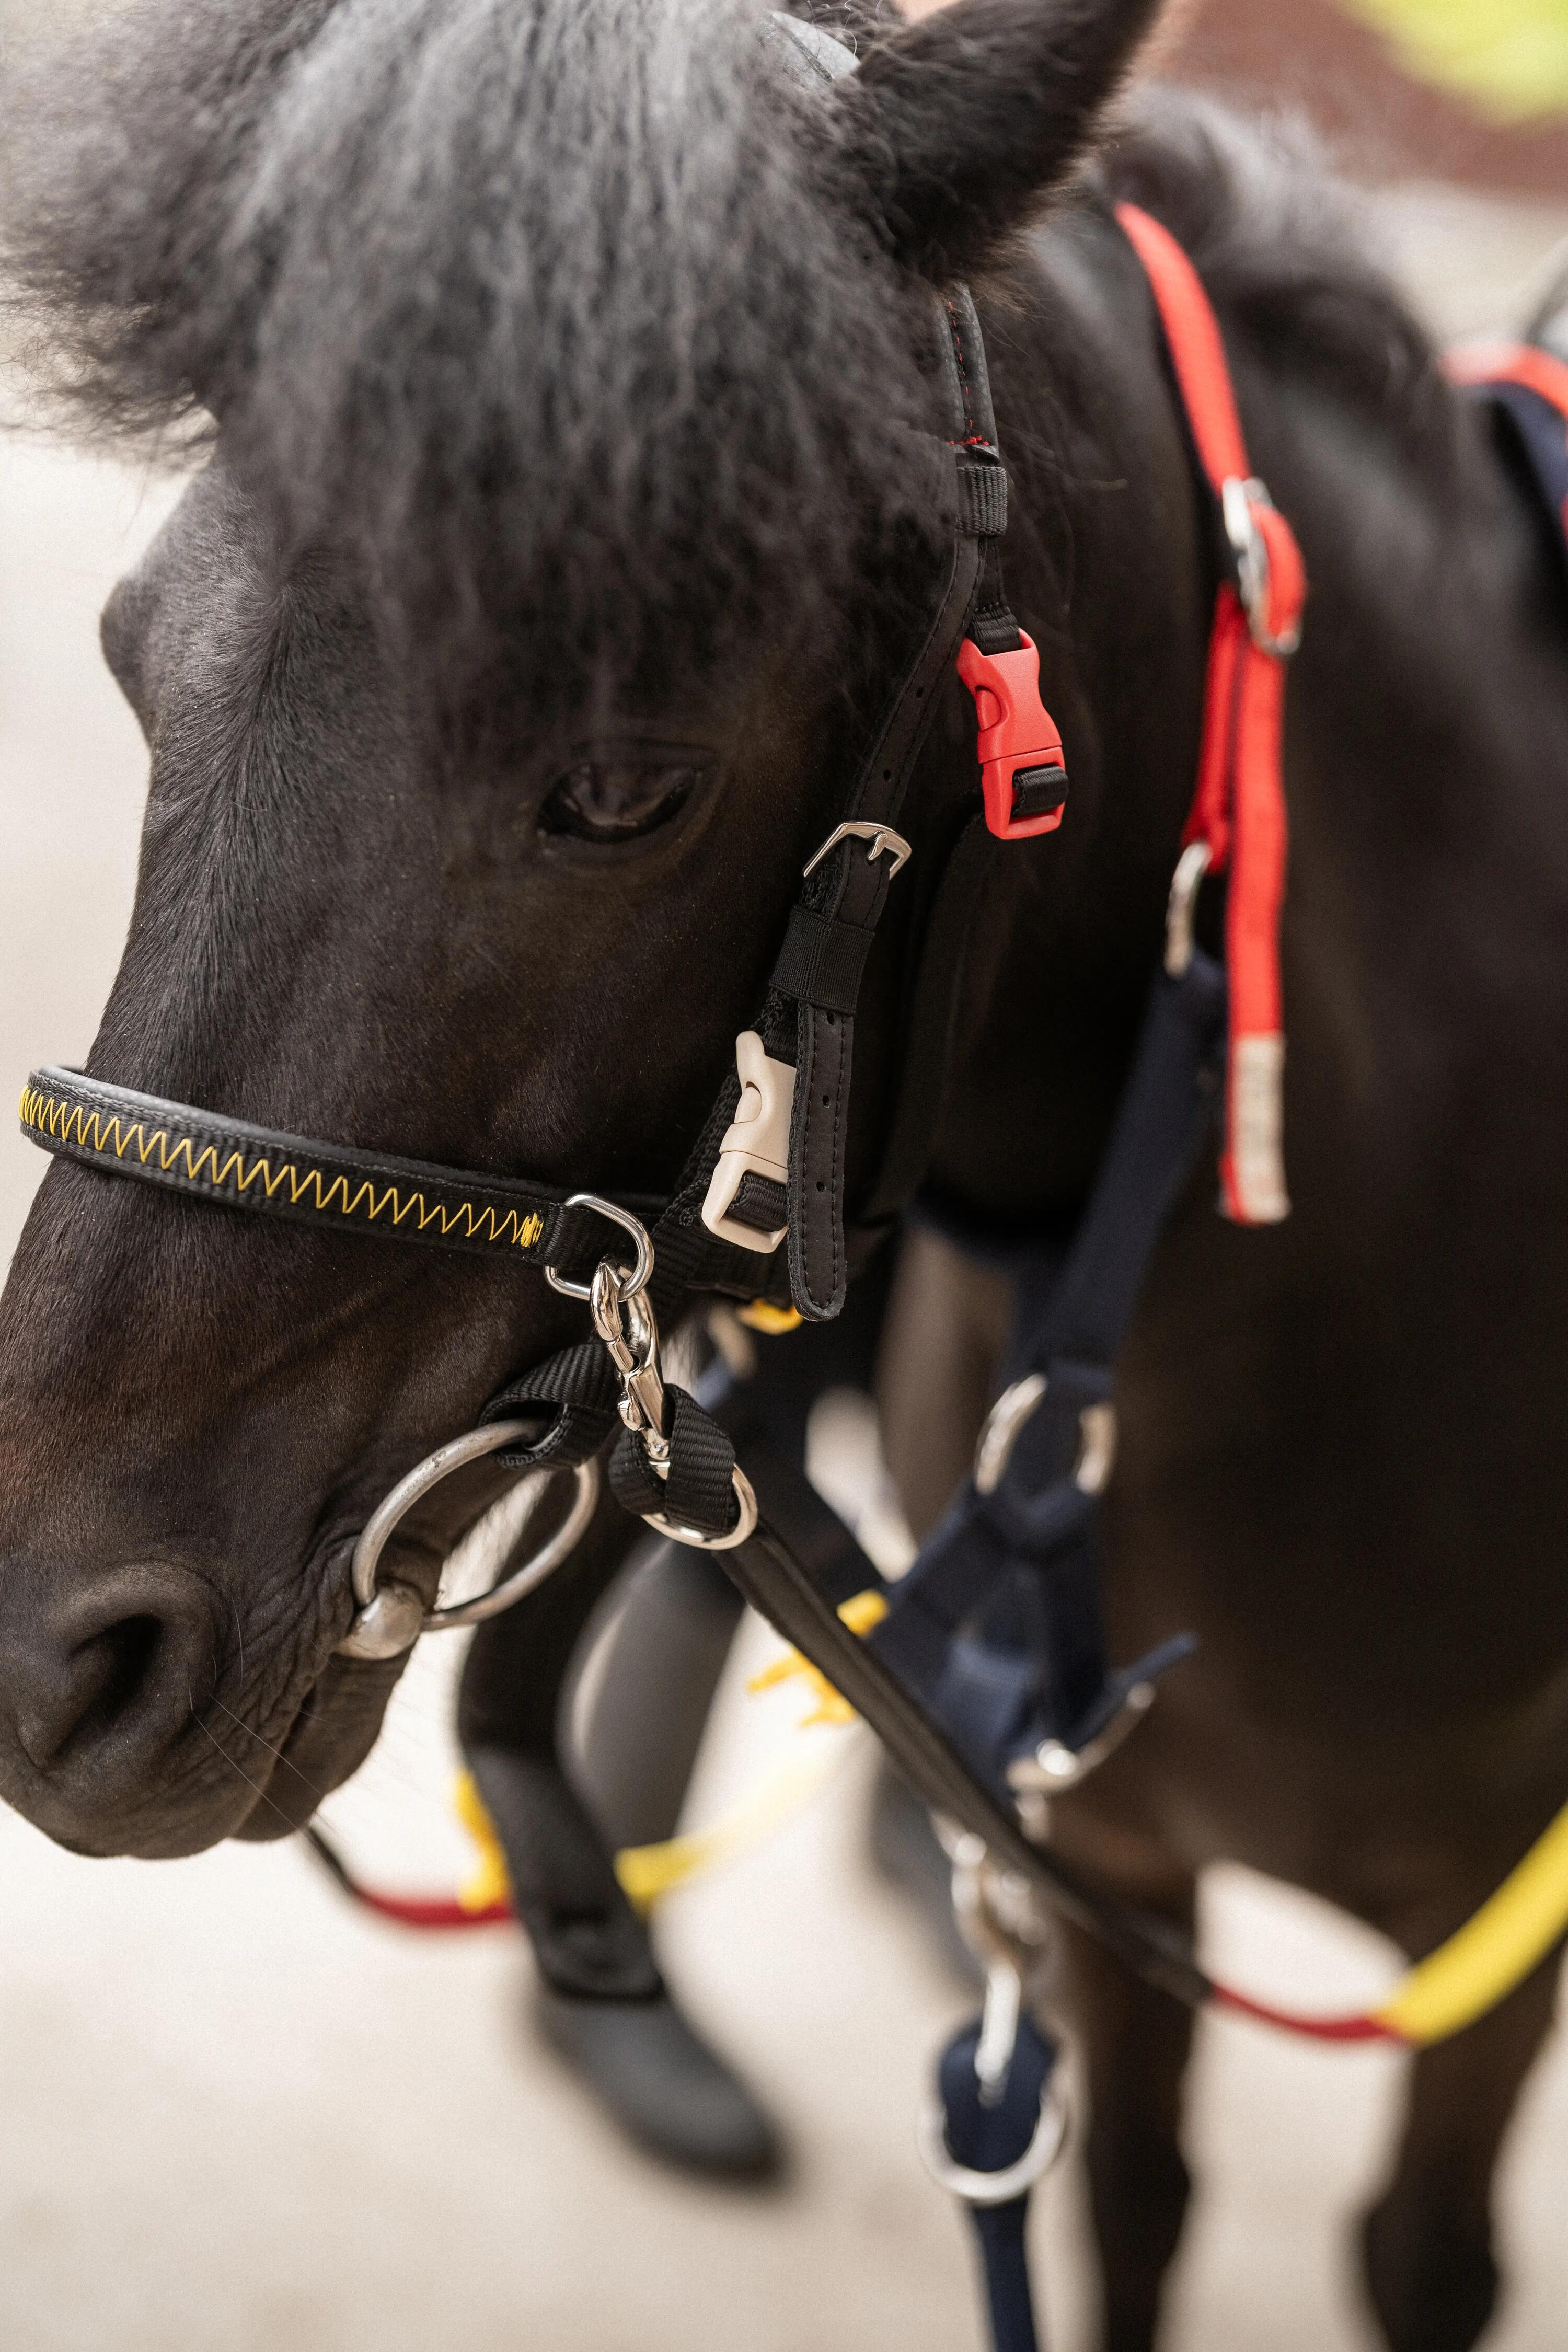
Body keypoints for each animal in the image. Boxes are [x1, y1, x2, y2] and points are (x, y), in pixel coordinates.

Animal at [5, 0, 1568, 2344]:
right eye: (131, 656)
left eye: (621, 787)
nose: (50, 1657)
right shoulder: (1117, 1872)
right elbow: (1126, 2204)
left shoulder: (1494, 1965)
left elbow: (1414, 2259)